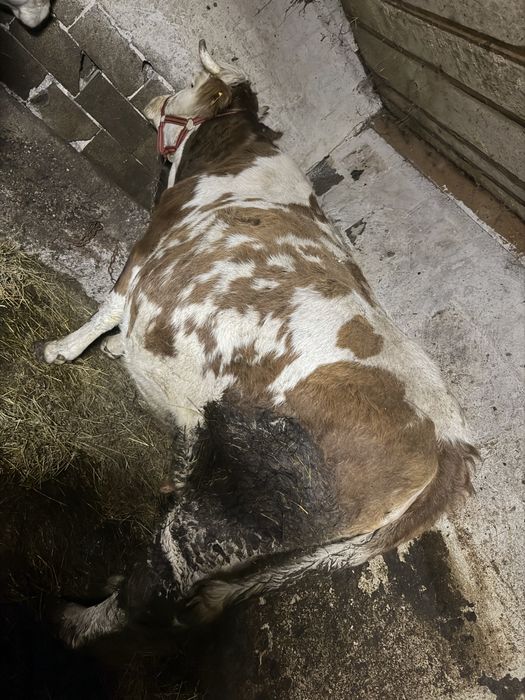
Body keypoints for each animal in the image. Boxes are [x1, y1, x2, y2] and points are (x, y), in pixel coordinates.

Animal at [37, 41, 477, 649]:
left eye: (192, 82)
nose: (154, 99)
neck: (234, 158)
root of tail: (449, 441)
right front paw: (114, 348)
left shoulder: (152, 242)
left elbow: (111, 303)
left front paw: (66, 349)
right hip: (304, 550)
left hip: (243, 507)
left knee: (157, 586)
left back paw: (74, 621)